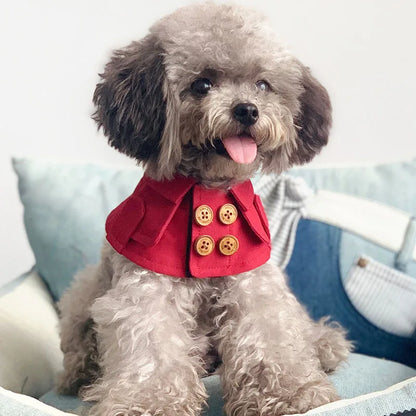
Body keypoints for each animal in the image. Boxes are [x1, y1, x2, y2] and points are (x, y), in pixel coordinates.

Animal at [57, 4, 352, 416]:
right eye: (202, 85)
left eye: (263, 84)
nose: (247, 110)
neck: (210, 191)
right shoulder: (144, 292)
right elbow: (152, 353)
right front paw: (149, 402)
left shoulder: (253, 284)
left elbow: (270, 338)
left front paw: (291, 394)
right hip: (84, 292)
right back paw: (81, 375)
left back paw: (323, 342)